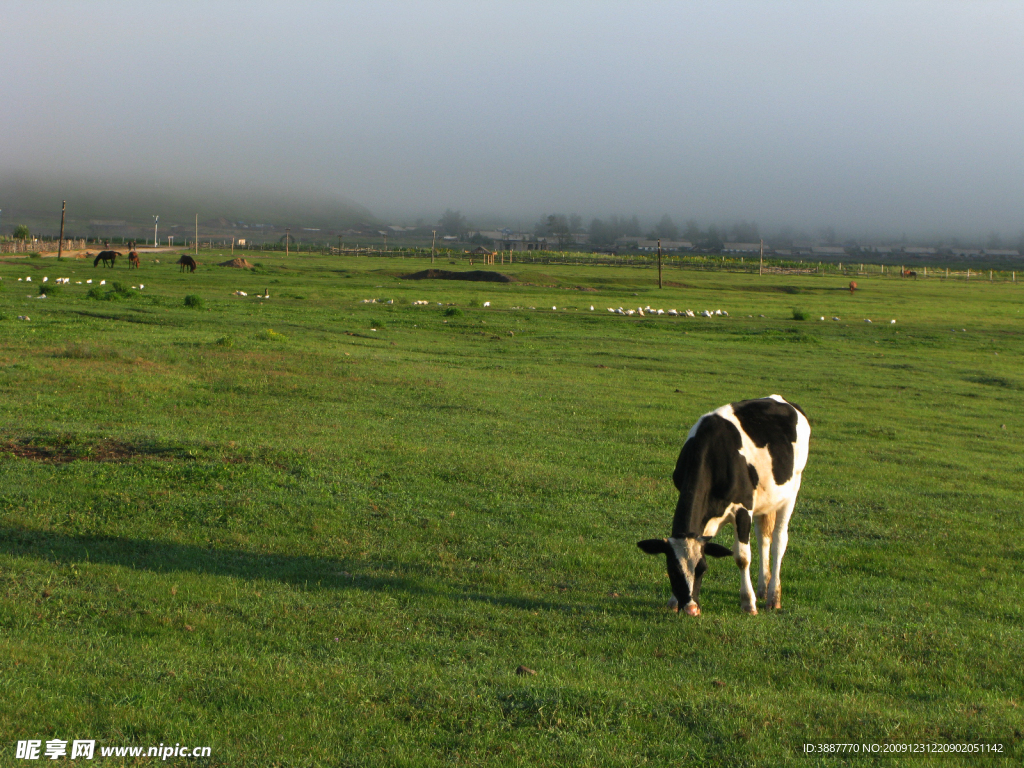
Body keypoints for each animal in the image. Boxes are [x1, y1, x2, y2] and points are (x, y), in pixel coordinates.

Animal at [634, 397, 811, 618]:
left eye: (702, 568)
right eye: (673, 571)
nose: (691, 609)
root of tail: (782, 400)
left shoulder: (743, 509)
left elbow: (742, 557)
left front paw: (748, 603)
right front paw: (674, 601)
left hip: (791, 491)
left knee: (779, 540)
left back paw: (773, 597)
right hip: (765, 499)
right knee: (763, 537)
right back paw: (762, 588)